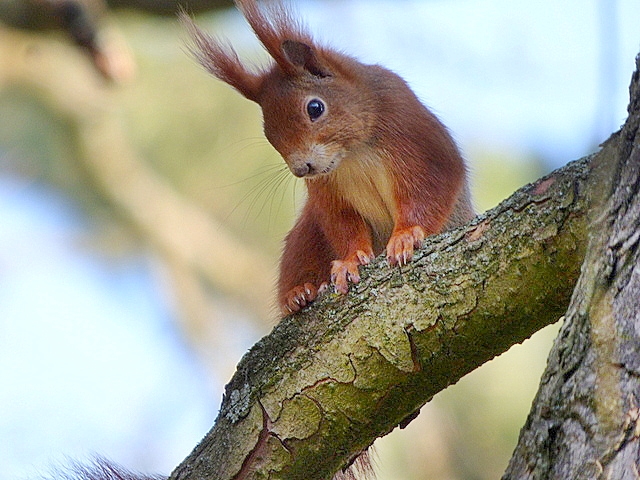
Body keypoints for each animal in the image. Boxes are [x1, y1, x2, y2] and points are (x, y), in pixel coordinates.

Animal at [185, 0, 475, 316]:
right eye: (268, 133)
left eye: (315, 108)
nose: (302, 169)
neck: (352, 154)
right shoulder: (327, 191)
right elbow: (342, 224)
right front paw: (349, 261)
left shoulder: (417, 138)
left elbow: (431, 188)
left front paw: (407, 235)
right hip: (306, 232)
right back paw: (299, 293)